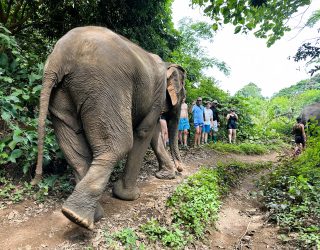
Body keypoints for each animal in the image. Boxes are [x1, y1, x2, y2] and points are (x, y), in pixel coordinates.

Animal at [31, 26, 185, 229]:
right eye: (183, 95)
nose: (181, 169)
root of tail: (59, 56)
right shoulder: (156, 94)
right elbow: (144, 132)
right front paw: (129, 196)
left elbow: (154, 133)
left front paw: (164, 176)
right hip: (105, 87)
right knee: (119, 144)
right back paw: (78, 217)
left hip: (63, 92)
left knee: (72, 147)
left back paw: (84, 215)